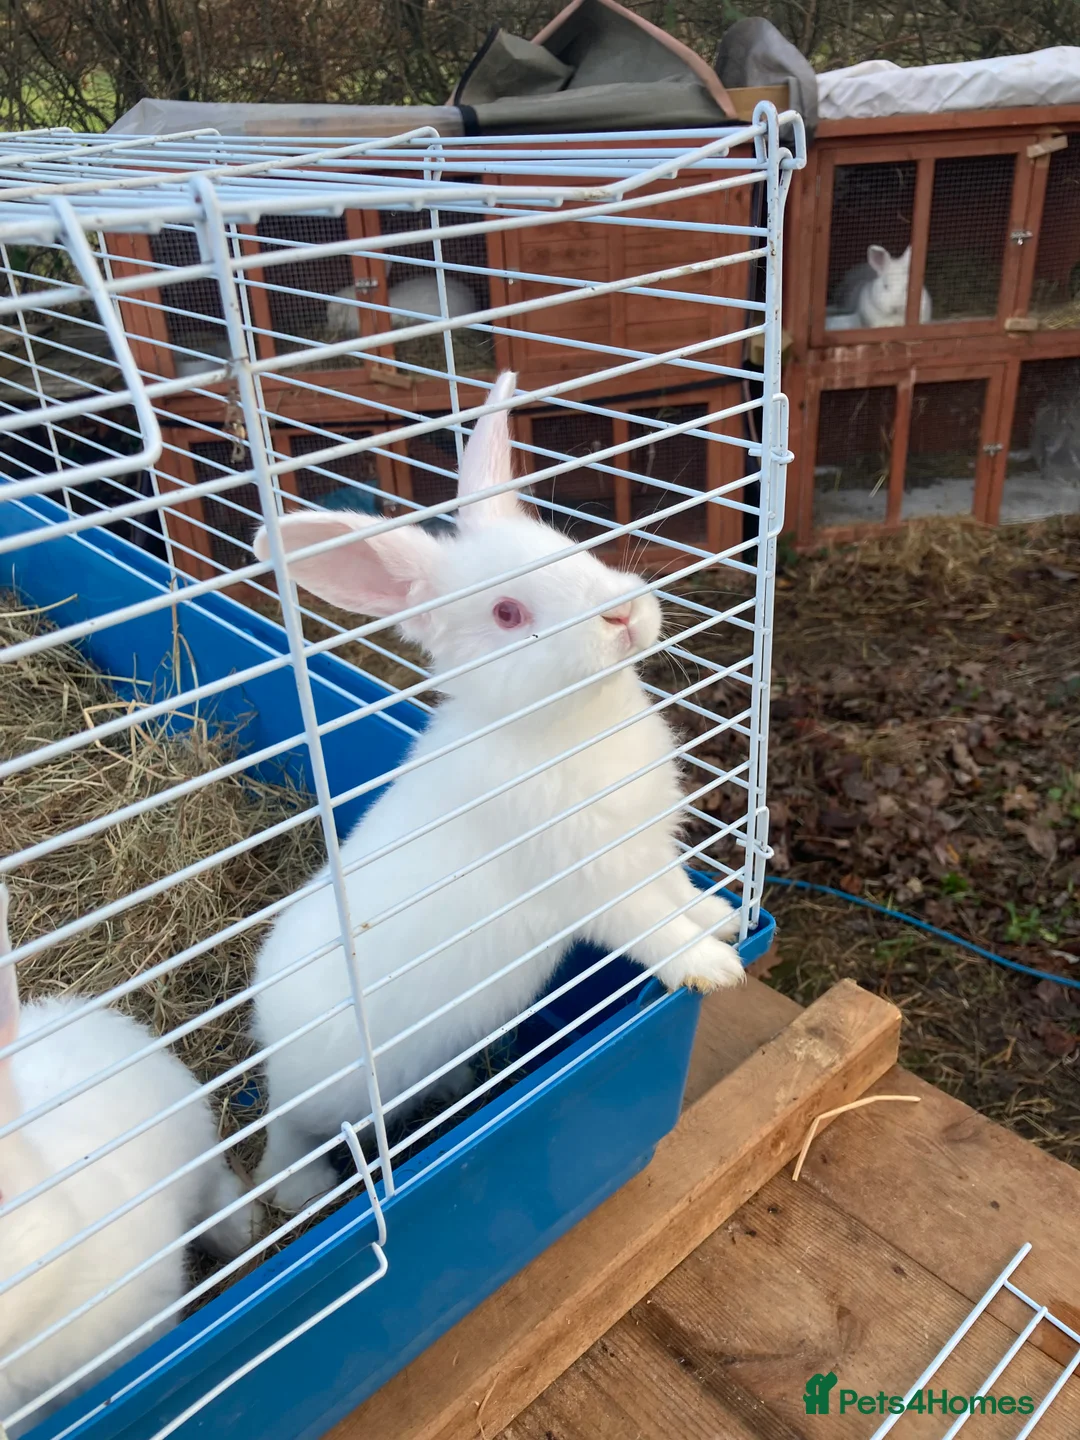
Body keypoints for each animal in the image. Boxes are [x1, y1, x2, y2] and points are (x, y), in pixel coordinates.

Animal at [250, 369, 745, 1216]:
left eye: (571, 546)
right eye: (509, 615)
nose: (622, 614)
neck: (570, 722)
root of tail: (263, 1038)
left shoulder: (648, 852)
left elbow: (679, 892)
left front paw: (723, 917)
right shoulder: (599, 885)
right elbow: (654, 930)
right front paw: (714, 967)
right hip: (319, 1101)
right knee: (294, 1138)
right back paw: (294, 1193)